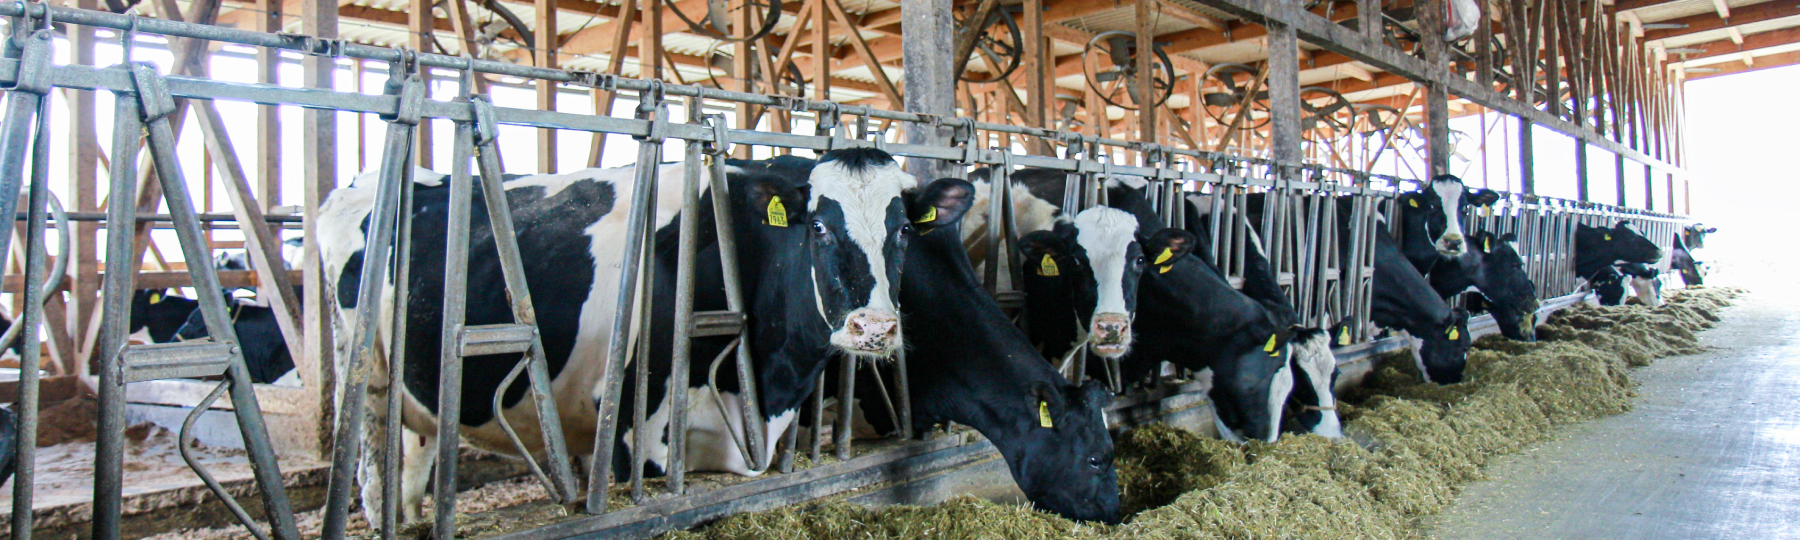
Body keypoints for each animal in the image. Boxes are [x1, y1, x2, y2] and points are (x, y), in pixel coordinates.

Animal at [320, 148, 920, 527]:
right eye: (818, 226)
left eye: (905, 230)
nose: (874, 328)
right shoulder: (637, 433)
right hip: (364, 384)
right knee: (372, 480)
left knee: (411, 476)